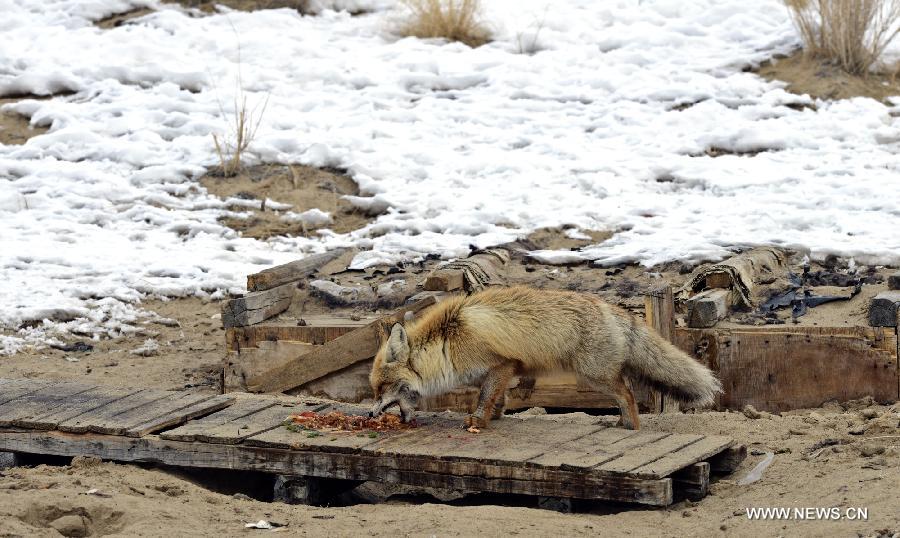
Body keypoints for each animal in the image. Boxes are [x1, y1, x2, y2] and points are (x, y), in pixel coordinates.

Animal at [370, 284, 720, 428]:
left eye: (381, 388)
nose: (371, 413)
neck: (446, 341)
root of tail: (614, 309)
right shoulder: (500, 371)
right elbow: (497, 398)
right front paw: (495, 417)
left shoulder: (502, 363)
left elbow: (484, 397)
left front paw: (479, 421)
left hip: (593, 375)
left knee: (628, 394)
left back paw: (629, 426)